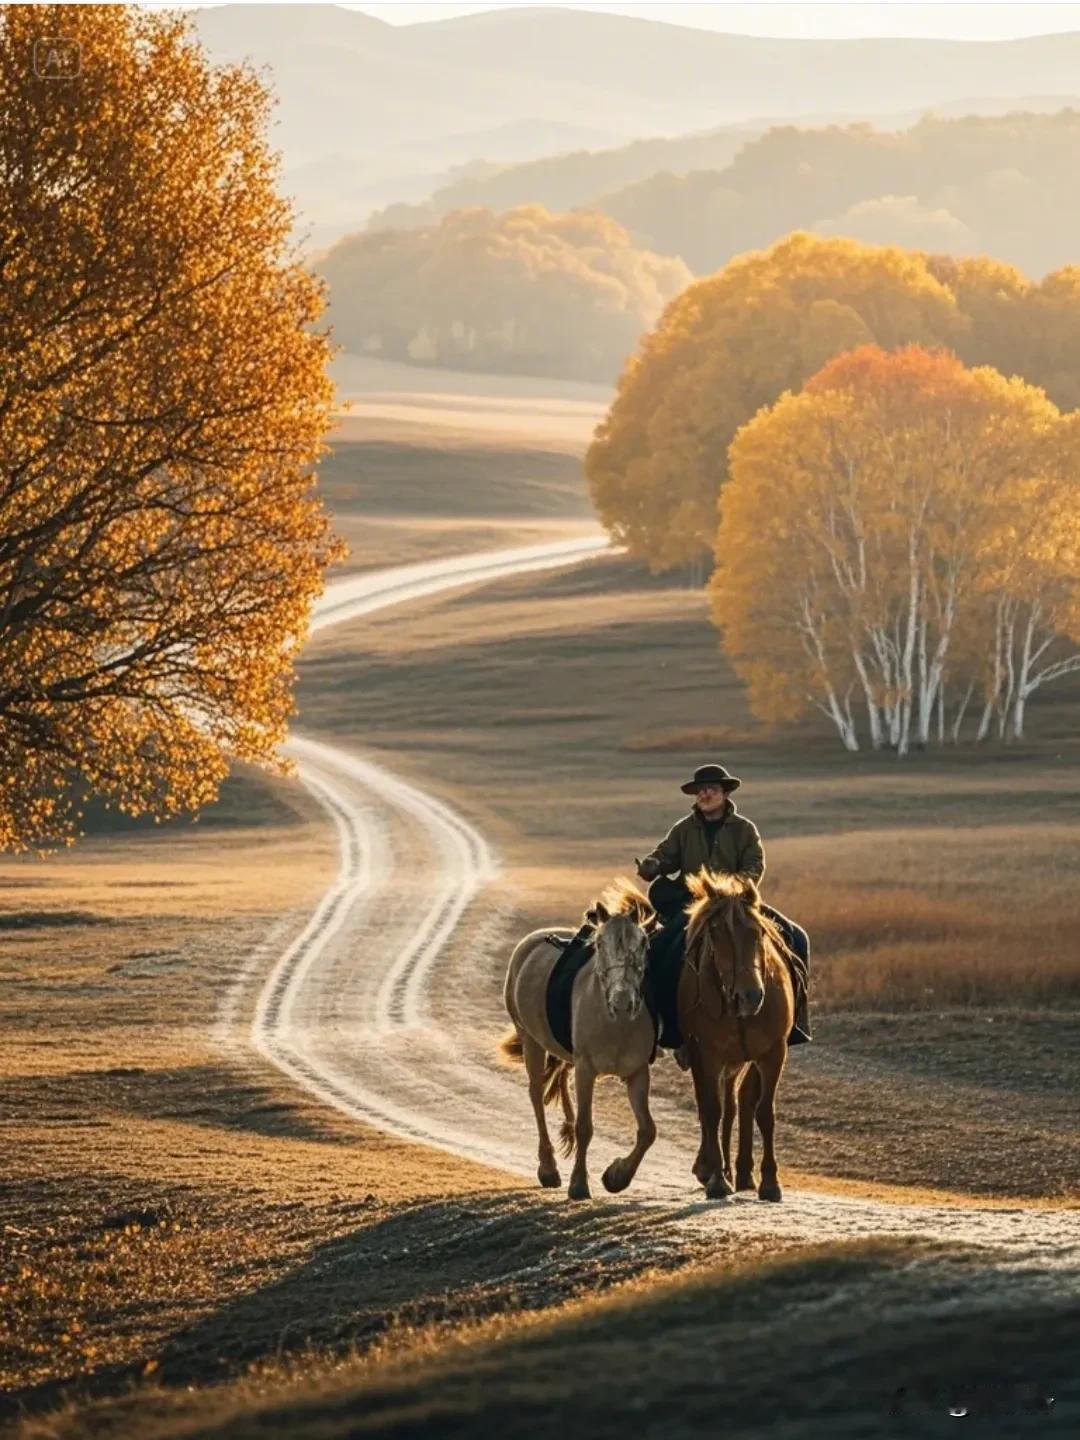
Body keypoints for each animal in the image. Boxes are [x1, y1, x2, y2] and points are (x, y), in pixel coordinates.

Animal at [501, 881, 659, 1198]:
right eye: (599, 945)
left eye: (644, 945)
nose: (622, 1002)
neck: (615, 1024)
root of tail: (529, 942)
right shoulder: (586, 1069)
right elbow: (586, 1127)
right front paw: (578, 1184)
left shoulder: (637, 1072)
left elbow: (647, 1130)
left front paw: (616, 1176)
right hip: (530, 1040)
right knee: (536, 1094)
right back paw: (548, 1169)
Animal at [685, 864, 794, 1203]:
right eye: (715, 933)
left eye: (758, 932)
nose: (750, 996)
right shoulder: (708, 1054)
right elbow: (712, 1110)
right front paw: (717, 1180)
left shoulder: (773, 1052)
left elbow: (765, 1113)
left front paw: (771, 1182)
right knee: (718, 1105)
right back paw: (713, 1168)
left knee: (741, 1102)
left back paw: (743, 1172)